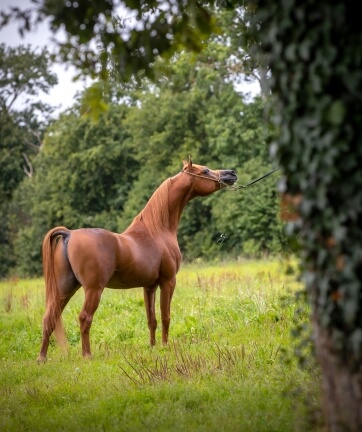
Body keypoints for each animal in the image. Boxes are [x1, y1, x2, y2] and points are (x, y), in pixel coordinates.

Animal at [38, 156, 238, 362]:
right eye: (205, 171)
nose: (231, 173)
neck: (157, 230)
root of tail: (69, 234)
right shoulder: (168, 282)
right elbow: (165, 316)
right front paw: (165, 346)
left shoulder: (149, 286)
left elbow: (151, 319)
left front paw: (153, 346)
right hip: (93, 289)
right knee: (84, 318)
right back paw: (87, 355)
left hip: (65, 289)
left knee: (49, 319)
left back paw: (42, 358)